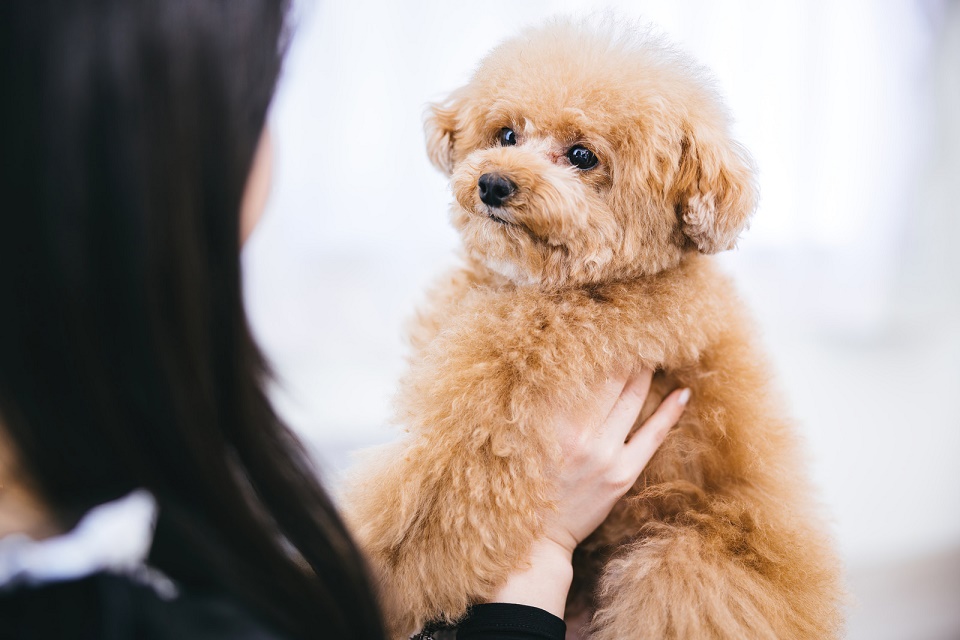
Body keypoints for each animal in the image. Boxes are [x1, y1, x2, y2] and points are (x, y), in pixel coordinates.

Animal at [344, 18, 844, 640]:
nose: (493, 184)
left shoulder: (497, 409)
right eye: (506, 134)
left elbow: (430, 496)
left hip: (683, 565)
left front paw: (381, 572)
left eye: (582, 155)